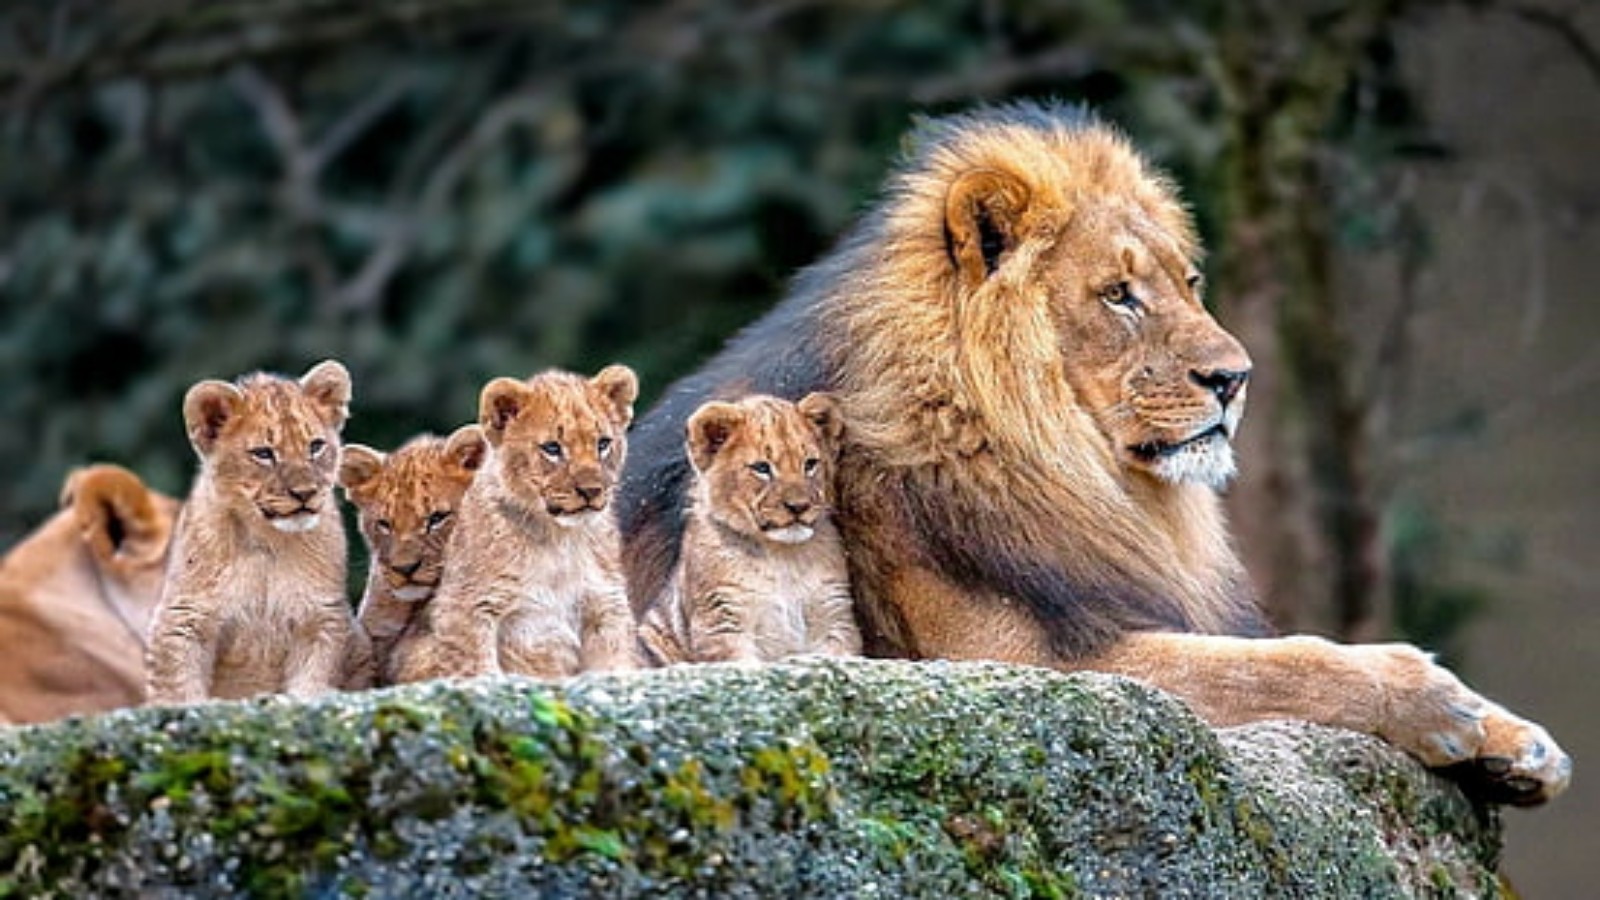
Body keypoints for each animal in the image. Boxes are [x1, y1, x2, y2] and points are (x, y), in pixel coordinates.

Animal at [617, 101, 1568, 800]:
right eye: (1118, 295)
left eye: (1189, 283)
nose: (1237, 378)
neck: (1071, 469)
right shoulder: (1018, 666)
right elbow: (1273, 664)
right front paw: (1430, 695)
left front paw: (1518, 741)